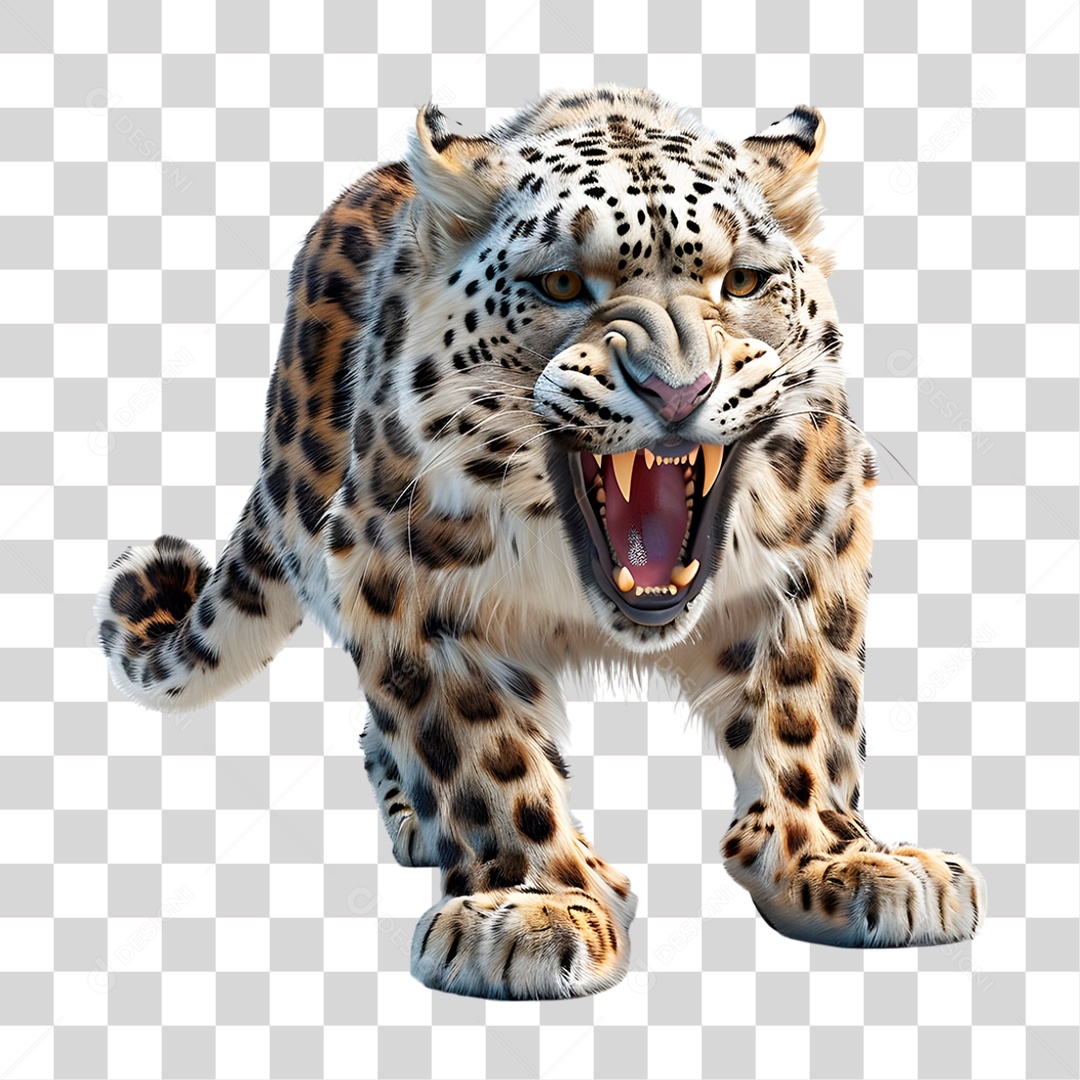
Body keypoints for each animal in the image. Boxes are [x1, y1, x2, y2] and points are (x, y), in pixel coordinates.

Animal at [95, 86, 986, 1000]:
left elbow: (807, 715)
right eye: (560, 283)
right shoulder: (404, 586)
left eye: (742, 280)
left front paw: (840, 860)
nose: (679, 390)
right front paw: (532, 906)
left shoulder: (814, 552)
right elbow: (484, 759)